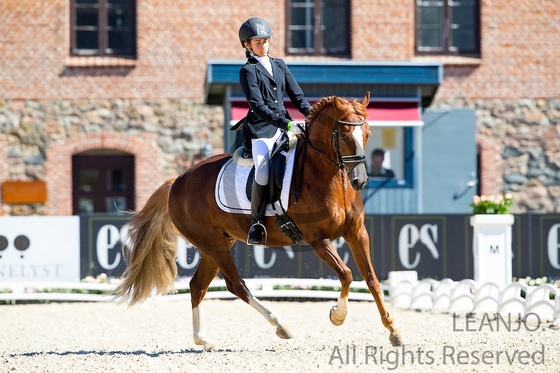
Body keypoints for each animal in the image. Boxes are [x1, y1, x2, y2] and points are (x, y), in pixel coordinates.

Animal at [116, 91, 410, 348]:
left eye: (368, 134)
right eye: (346, 135)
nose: (359, 181)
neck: (327, 178)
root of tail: (177, 181)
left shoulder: (357, 232)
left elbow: (371, 279)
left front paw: (395, 331)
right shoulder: (317, 239)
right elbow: (346, 274)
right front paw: (337, 315)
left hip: (217, 244)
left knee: (198, 285)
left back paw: (203, 340)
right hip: (213, 245)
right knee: (236, 285)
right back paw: (282, 326)